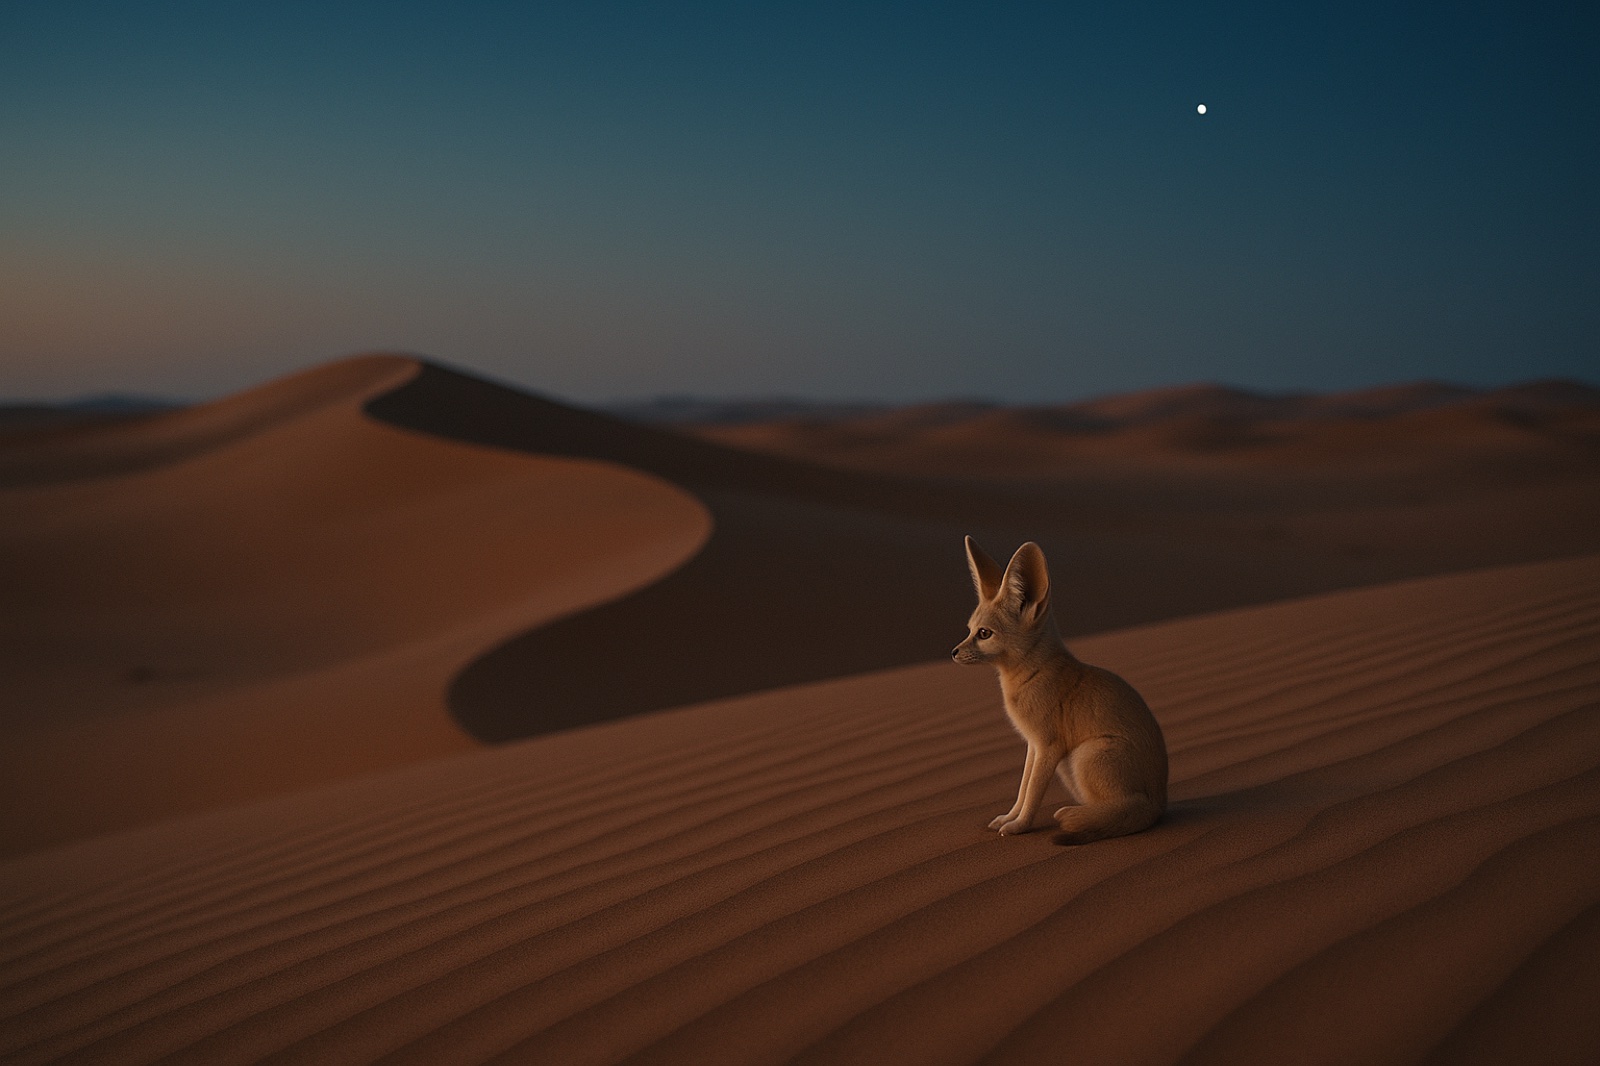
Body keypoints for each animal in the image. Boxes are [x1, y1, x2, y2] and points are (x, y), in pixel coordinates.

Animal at [952, 537, 1168, 845]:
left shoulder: (1048, 746)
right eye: (969, 629)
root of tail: (1157, 804)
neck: (1034, 673)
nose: (953, 652)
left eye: (984, 634)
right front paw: (1009, 817)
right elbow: (1023, 789)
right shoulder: (1032, 745)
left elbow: (1033, 793)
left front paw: (1020, 826)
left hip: (1083, 756)